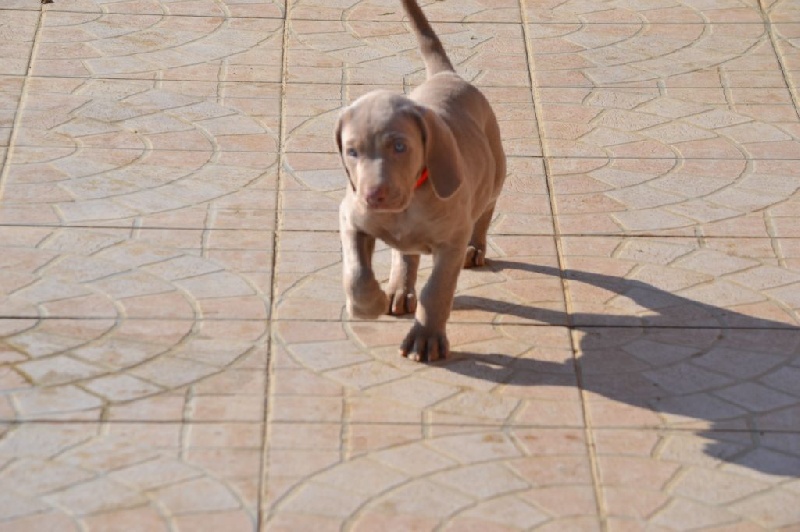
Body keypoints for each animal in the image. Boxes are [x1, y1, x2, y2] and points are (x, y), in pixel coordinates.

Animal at [335, 0, 506, 362]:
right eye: (352, 151)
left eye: (400, 147)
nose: (374, 195)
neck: (411, 200)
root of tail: (447, 75)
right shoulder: (352, 217)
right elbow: (356, 271)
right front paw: (368, 302)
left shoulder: (450, 243)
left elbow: (436, 290)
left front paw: (425, 339)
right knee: (405, 254)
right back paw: (398, 289)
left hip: (495, 170)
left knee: (485, 209)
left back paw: (476, 247)